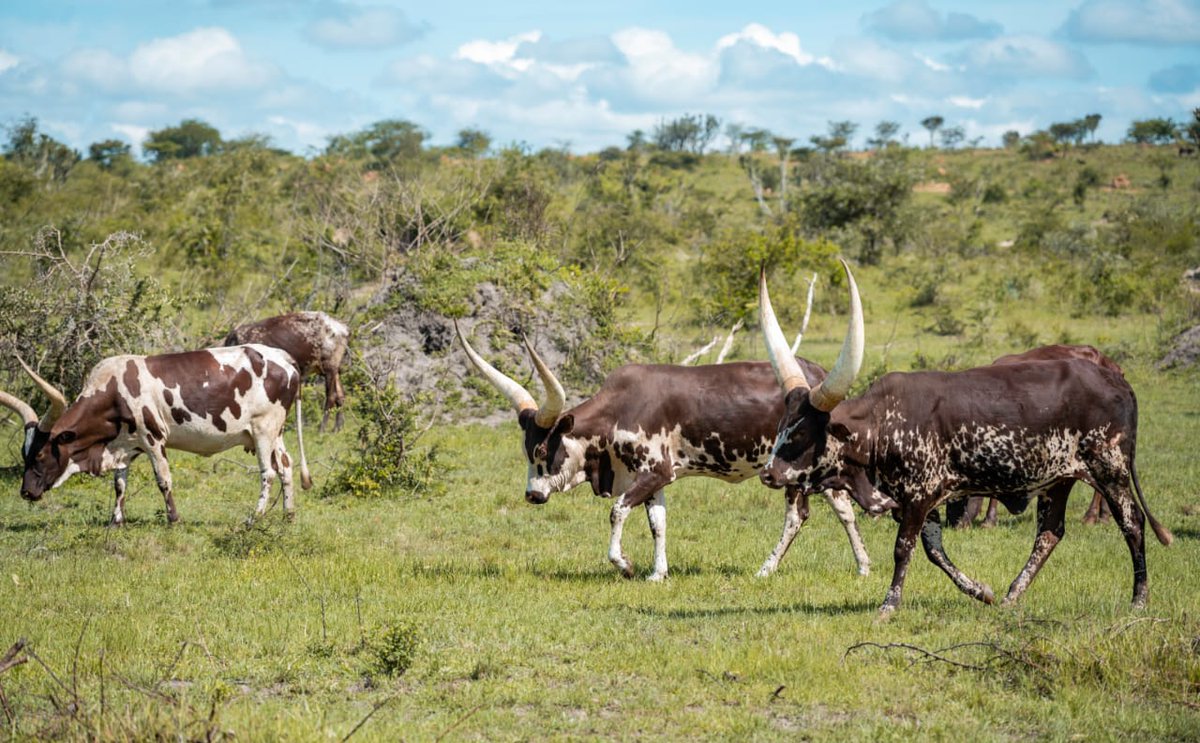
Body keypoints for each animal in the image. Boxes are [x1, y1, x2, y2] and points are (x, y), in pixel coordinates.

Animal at [1, 345, 311, 525]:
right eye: (24, 453)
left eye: (41, 453)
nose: (26, 492)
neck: (114, 391)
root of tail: (283, 357)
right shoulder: (126, 445)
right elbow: (120, 484)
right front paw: (116, 520)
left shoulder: (153, 439)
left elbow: (163, 480)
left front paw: (173, 518)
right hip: (275, 433)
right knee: (285, 467)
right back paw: (289, 515)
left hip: (263, 430)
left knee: (268, 473)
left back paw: (254, 517)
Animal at [456, 323, 896, 581]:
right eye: (526, 449)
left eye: (544, 449)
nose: (532, 494)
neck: (618, 410)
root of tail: (817, 376)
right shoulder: (654, 480)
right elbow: (658, 523)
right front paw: (658, 573)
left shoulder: (653, 472)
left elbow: (617, 511)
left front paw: (625, 564)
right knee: (842, 508)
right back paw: (863, 566)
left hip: (790, 471)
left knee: (797, 516)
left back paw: (766, 568)